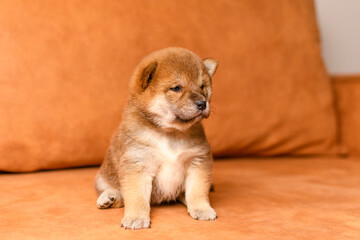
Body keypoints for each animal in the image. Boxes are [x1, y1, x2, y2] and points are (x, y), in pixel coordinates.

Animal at [94, 47, 217, 229]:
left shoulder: (198, 161)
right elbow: (137, 197)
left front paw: (202, 209)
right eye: (176, 88)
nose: (203, 103)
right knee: (115, 191)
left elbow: (197, 191)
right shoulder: (138, 165)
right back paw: (110, 197)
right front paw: (136, 217)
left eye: (202, 86)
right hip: (103, 178)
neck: (170, 133)